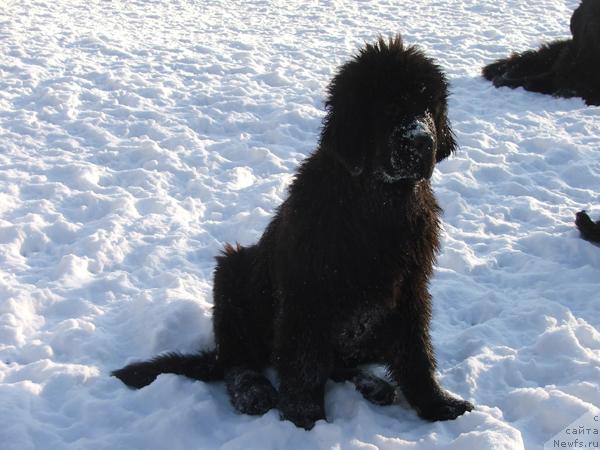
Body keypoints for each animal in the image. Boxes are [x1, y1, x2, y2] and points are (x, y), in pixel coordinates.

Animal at [112, 35, 474, 428]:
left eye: (429, 107)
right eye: (390, 106)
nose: (423, 141)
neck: (378, 205)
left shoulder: (410, 286)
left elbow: (415, 352)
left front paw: (438, 404)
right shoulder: (308, 288)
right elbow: (304, 362)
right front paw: (305, 419)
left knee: (339, 364)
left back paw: (373, 384)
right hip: (232, 273)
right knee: (239, 359)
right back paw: (254, 392)